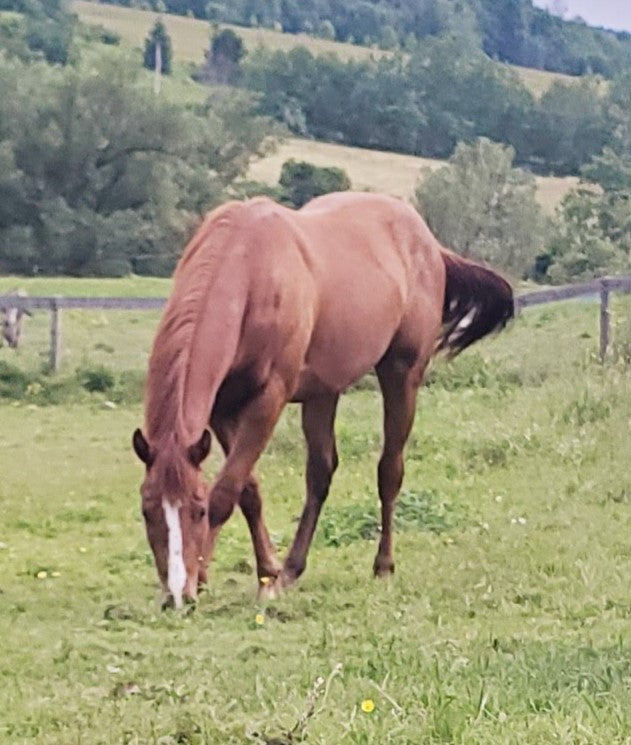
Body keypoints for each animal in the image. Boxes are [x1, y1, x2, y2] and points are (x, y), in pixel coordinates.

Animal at [133, 189, 512, 608]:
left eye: (196, 510)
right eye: (147, 511)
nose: (174, 595)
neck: (250, 269)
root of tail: (427, 240)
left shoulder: (268, 400)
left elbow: (226, 490)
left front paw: (207, 577)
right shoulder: (222, 410)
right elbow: (248, 489)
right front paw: (267, 572)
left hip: (402, 374)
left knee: (389, 470)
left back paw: (383, 565)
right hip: (323, 393)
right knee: (320, 474)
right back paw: (292, 569)